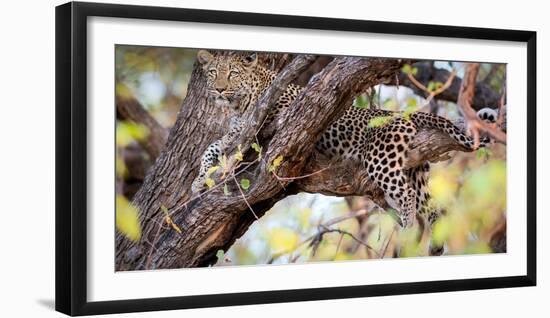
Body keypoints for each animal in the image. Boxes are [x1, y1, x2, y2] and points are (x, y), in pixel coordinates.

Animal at [192, 49, 498, 258]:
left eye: (232, 73)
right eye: (213, 72)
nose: (219, 89)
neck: (239, 102)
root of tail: (403, 115)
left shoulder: (276, 117)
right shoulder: (238, 131)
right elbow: (212, 147)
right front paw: (198, 180)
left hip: (381, 160)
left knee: (408, 196)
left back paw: (408, 232)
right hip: (416, 169)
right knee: (433, 206)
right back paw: (434, 245)